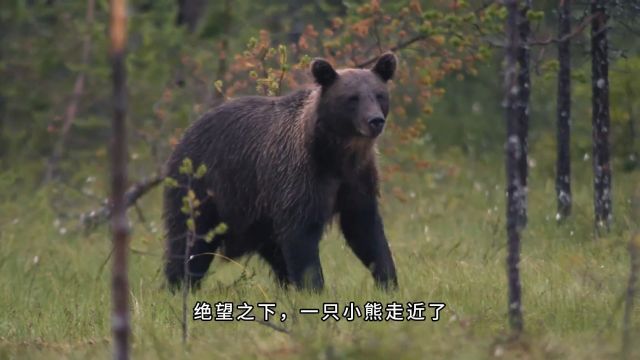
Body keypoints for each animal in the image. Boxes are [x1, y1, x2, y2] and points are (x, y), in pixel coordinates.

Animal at [162, 52, 398, 290]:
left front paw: (388, 281)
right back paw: (180, 284)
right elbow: (301, 237)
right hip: (205, 187)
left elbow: (365, 230)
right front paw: (314, 287)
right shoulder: (300, 178)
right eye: (352, 98)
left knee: (273, 251)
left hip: (257, 213)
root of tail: (185, 133)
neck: (336, 156)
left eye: (379, 95)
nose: (375, 120)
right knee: (191, 241)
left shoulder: (358, 180)